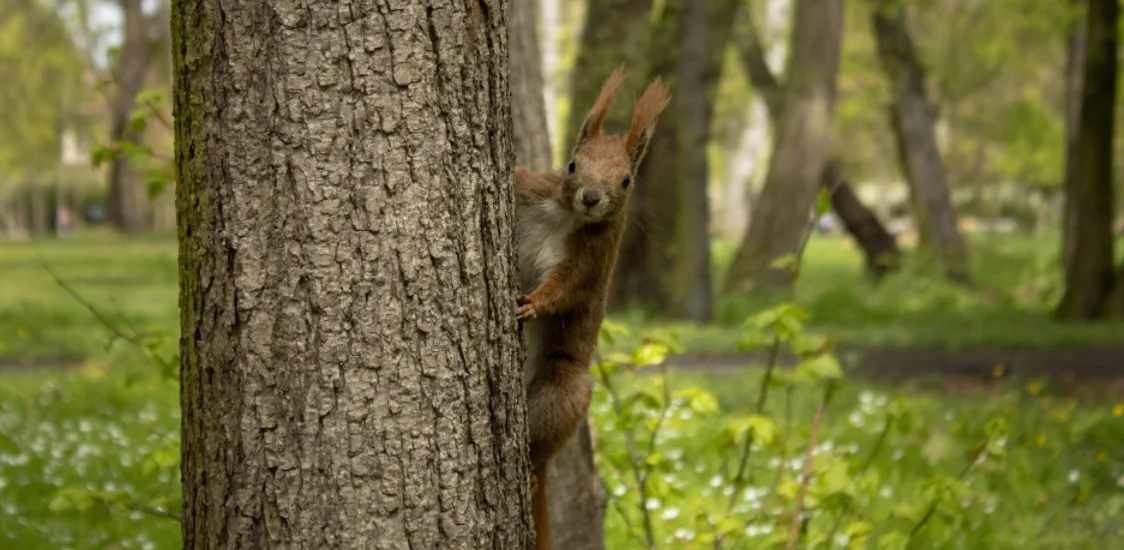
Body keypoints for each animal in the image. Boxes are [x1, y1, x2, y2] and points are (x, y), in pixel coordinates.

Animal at [513, 67, 670, 550]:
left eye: (625, 181)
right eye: (571, 165)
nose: (590, 198)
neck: (568, 216)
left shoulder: (596, 256)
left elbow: (568, 288)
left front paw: (533, 304)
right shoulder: (532, 189)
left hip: (564, 387)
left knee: (542, 445)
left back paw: (531, 470)